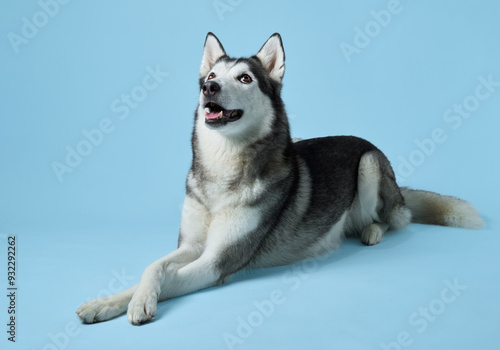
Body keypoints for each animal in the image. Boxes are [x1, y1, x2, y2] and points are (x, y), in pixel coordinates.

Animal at [77, 33, 484, 326]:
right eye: (211, 77)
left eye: (244, 78)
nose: (209, 88)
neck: (222, 171)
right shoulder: (191, 246)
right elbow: (152, 268)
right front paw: (108, 301)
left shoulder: (217, 262)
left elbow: (171, 280)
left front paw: (140, 304)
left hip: (369, 164)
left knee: (393, 219)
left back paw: (372, 230)